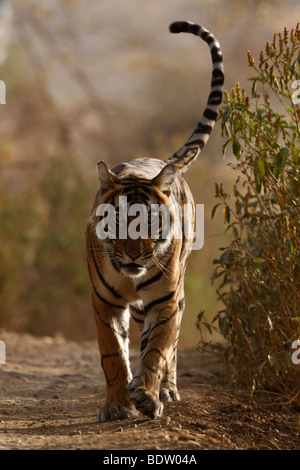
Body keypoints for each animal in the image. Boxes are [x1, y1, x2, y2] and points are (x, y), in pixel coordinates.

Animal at [85, 20, 224, 420]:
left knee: (170, 346)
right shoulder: (104, 303)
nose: (133, 255)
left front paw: (146, 394)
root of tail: (165, 161)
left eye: (149, 224)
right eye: (118, 224)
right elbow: (113, 354)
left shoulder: (165, 300)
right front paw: (117, 404)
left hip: (174, 293)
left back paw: (166, 390)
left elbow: (159, 349)